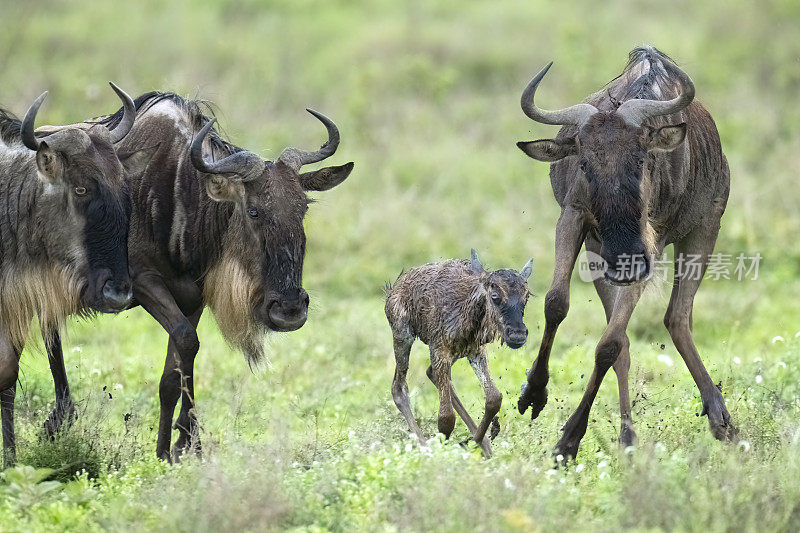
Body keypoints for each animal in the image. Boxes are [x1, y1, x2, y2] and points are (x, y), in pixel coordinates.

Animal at [386, 250, 532, 458]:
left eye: (526, 297)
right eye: (495, 296)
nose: (518, 334)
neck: (469, 316)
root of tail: (394, 289)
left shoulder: (475, 351)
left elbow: (494, 398)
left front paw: (475, 443)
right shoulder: (439, 349)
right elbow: (446, 417)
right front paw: (445, 452)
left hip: (452, 354)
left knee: (431, 373)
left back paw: (484, 445)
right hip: (402, 334)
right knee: (398, 387)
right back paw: (424, 447)